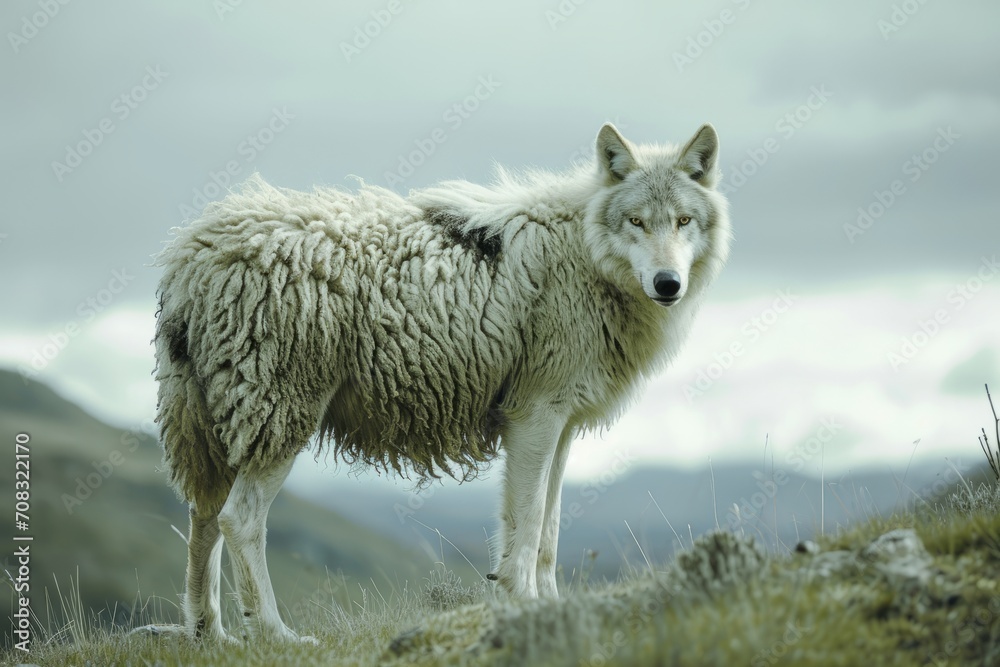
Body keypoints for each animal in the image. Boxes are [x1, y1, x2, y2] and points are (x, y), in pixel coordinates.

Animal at [149, 122, 730, 643]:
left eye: (682, 221)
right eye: (637, 221)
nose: (668, 284)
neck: (583, 253)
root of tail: (190, 254)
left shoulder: (561, 427)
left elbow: (547, 533)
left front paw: (552, 607)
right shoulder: (535, 417)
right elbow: (527, 528)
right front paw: (524, 607)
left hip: (221, 432)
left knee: (203, 517)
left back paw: (209, 635)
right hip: (280, 423)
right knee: (239, 521)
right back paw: (275, 635)